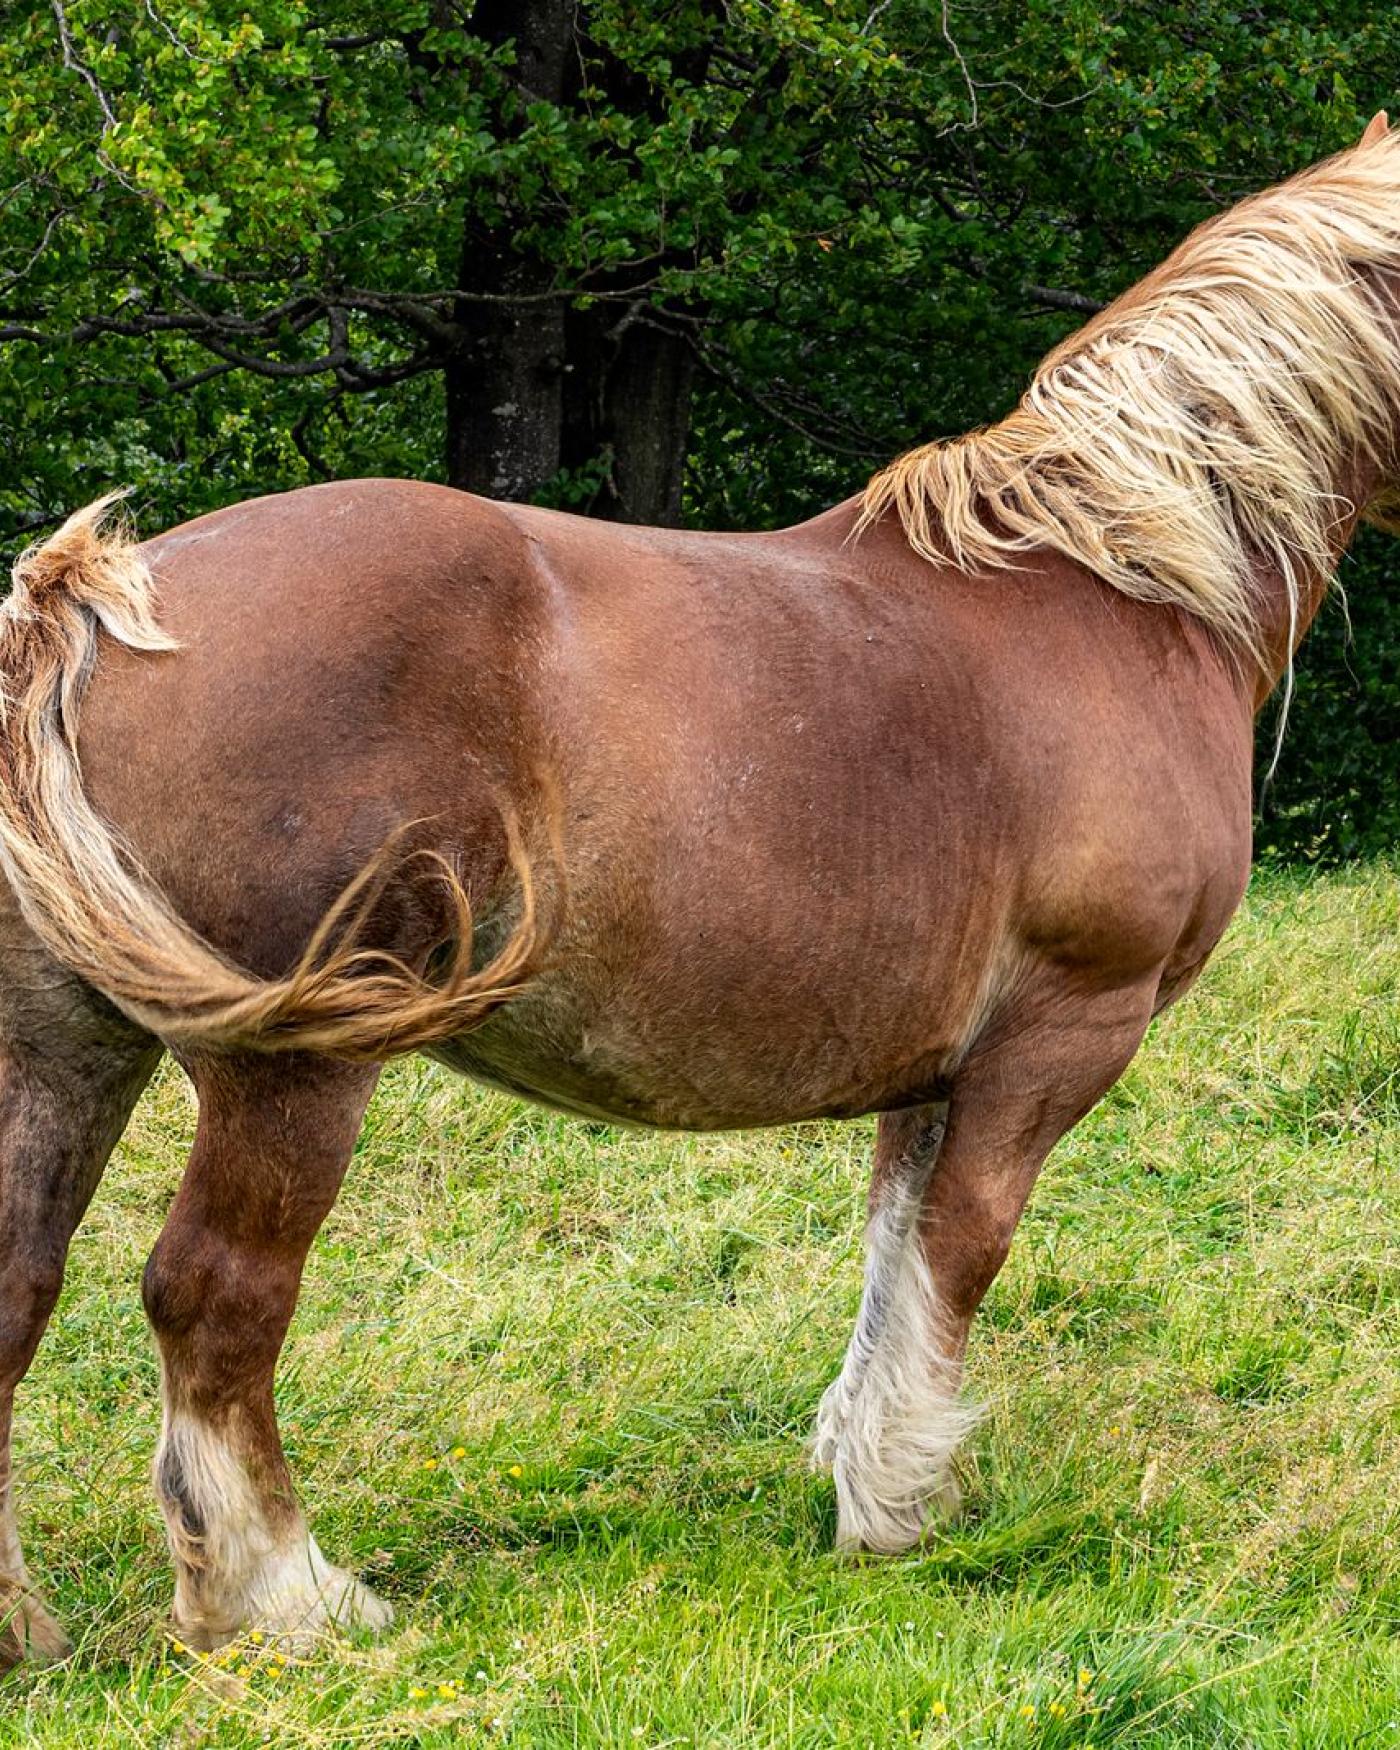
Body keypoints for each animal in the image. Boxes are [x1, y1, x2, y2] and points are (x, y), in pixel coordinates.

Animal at [0, 112, 1397, 1663]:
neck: (1118, 587)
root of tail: (88, 606)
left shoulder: (932, 1066)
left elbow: (893, 1259)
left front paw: (862, 1464)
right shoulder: (1056, 1039)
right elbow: (960, 1253)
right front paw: (894, 1513)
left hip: (64, 1050)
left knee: (19, 1282)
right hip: (288, 1072)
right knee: (216, 1296)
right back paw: (286, 1593)